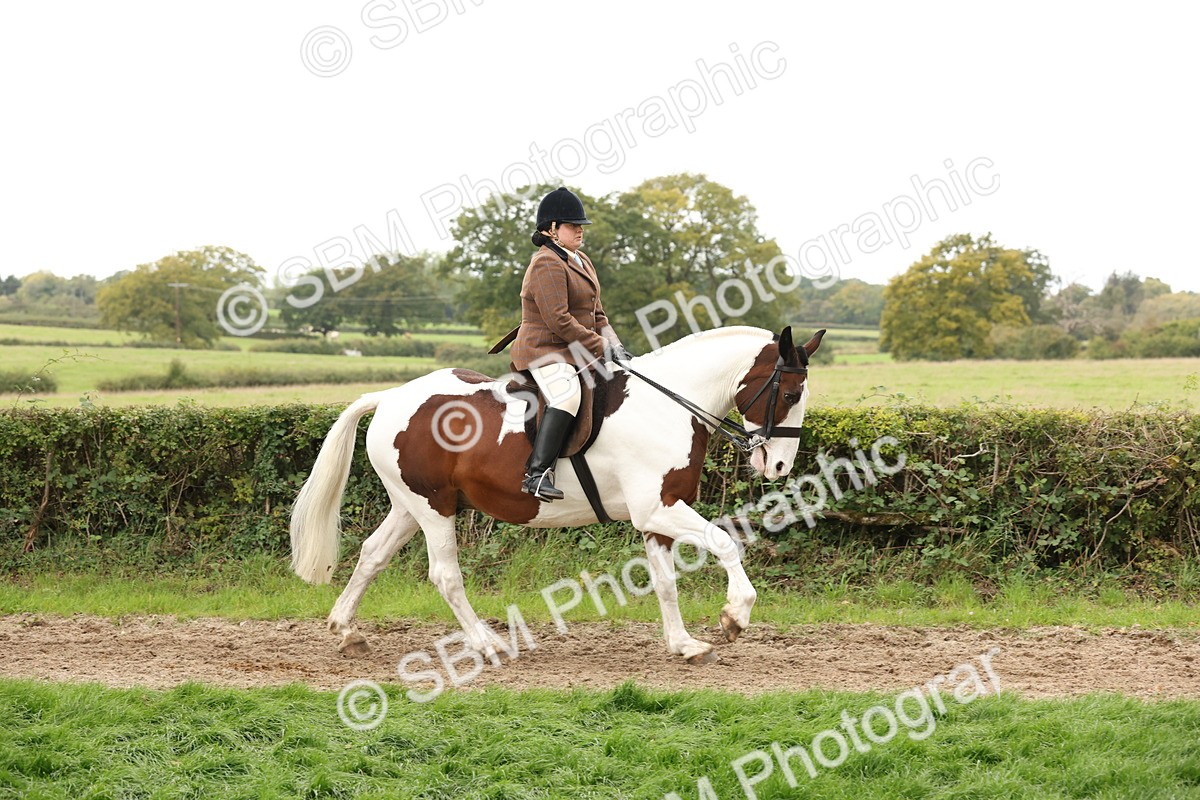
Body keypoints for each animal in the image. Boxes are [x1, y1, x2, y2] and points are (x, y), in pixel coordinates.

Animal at [289, 325, 824, 664]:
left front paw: (684, 644)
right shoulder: (659, 508)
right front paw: (735, 616)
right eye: (790, 394)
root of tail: (391, 397)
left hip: (411, 505)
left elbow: (666, 582)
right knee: (445, 576)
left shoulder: (658, 514)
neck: (668, 405)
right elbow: (725, 542)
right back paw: (487, 645)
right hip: (433, 508)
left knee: (372, 555)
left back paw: (346, 632)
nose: (779, 466)